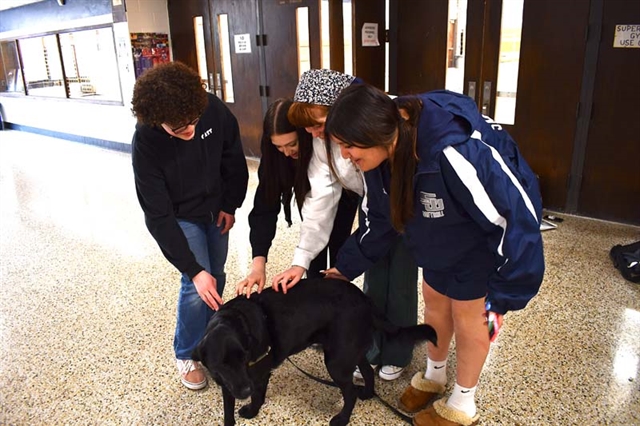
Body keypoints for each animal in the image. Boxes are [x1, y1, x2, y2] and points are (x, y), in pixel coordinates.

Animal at [192, 278, 438, 424]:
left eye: (244, 358)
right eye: (222, 364)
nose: (244, 390)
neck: (236, 320)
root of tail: (365, 299)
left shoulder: (258, 375)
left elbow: (258, 396)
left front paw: (252, 410)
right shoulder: (228, 382)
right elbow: (227, 408)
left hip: (337, 361)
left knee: (349, 393)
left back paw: (342, 418)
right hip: (349, 353)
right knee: (367, 371)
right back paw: (368, 393)